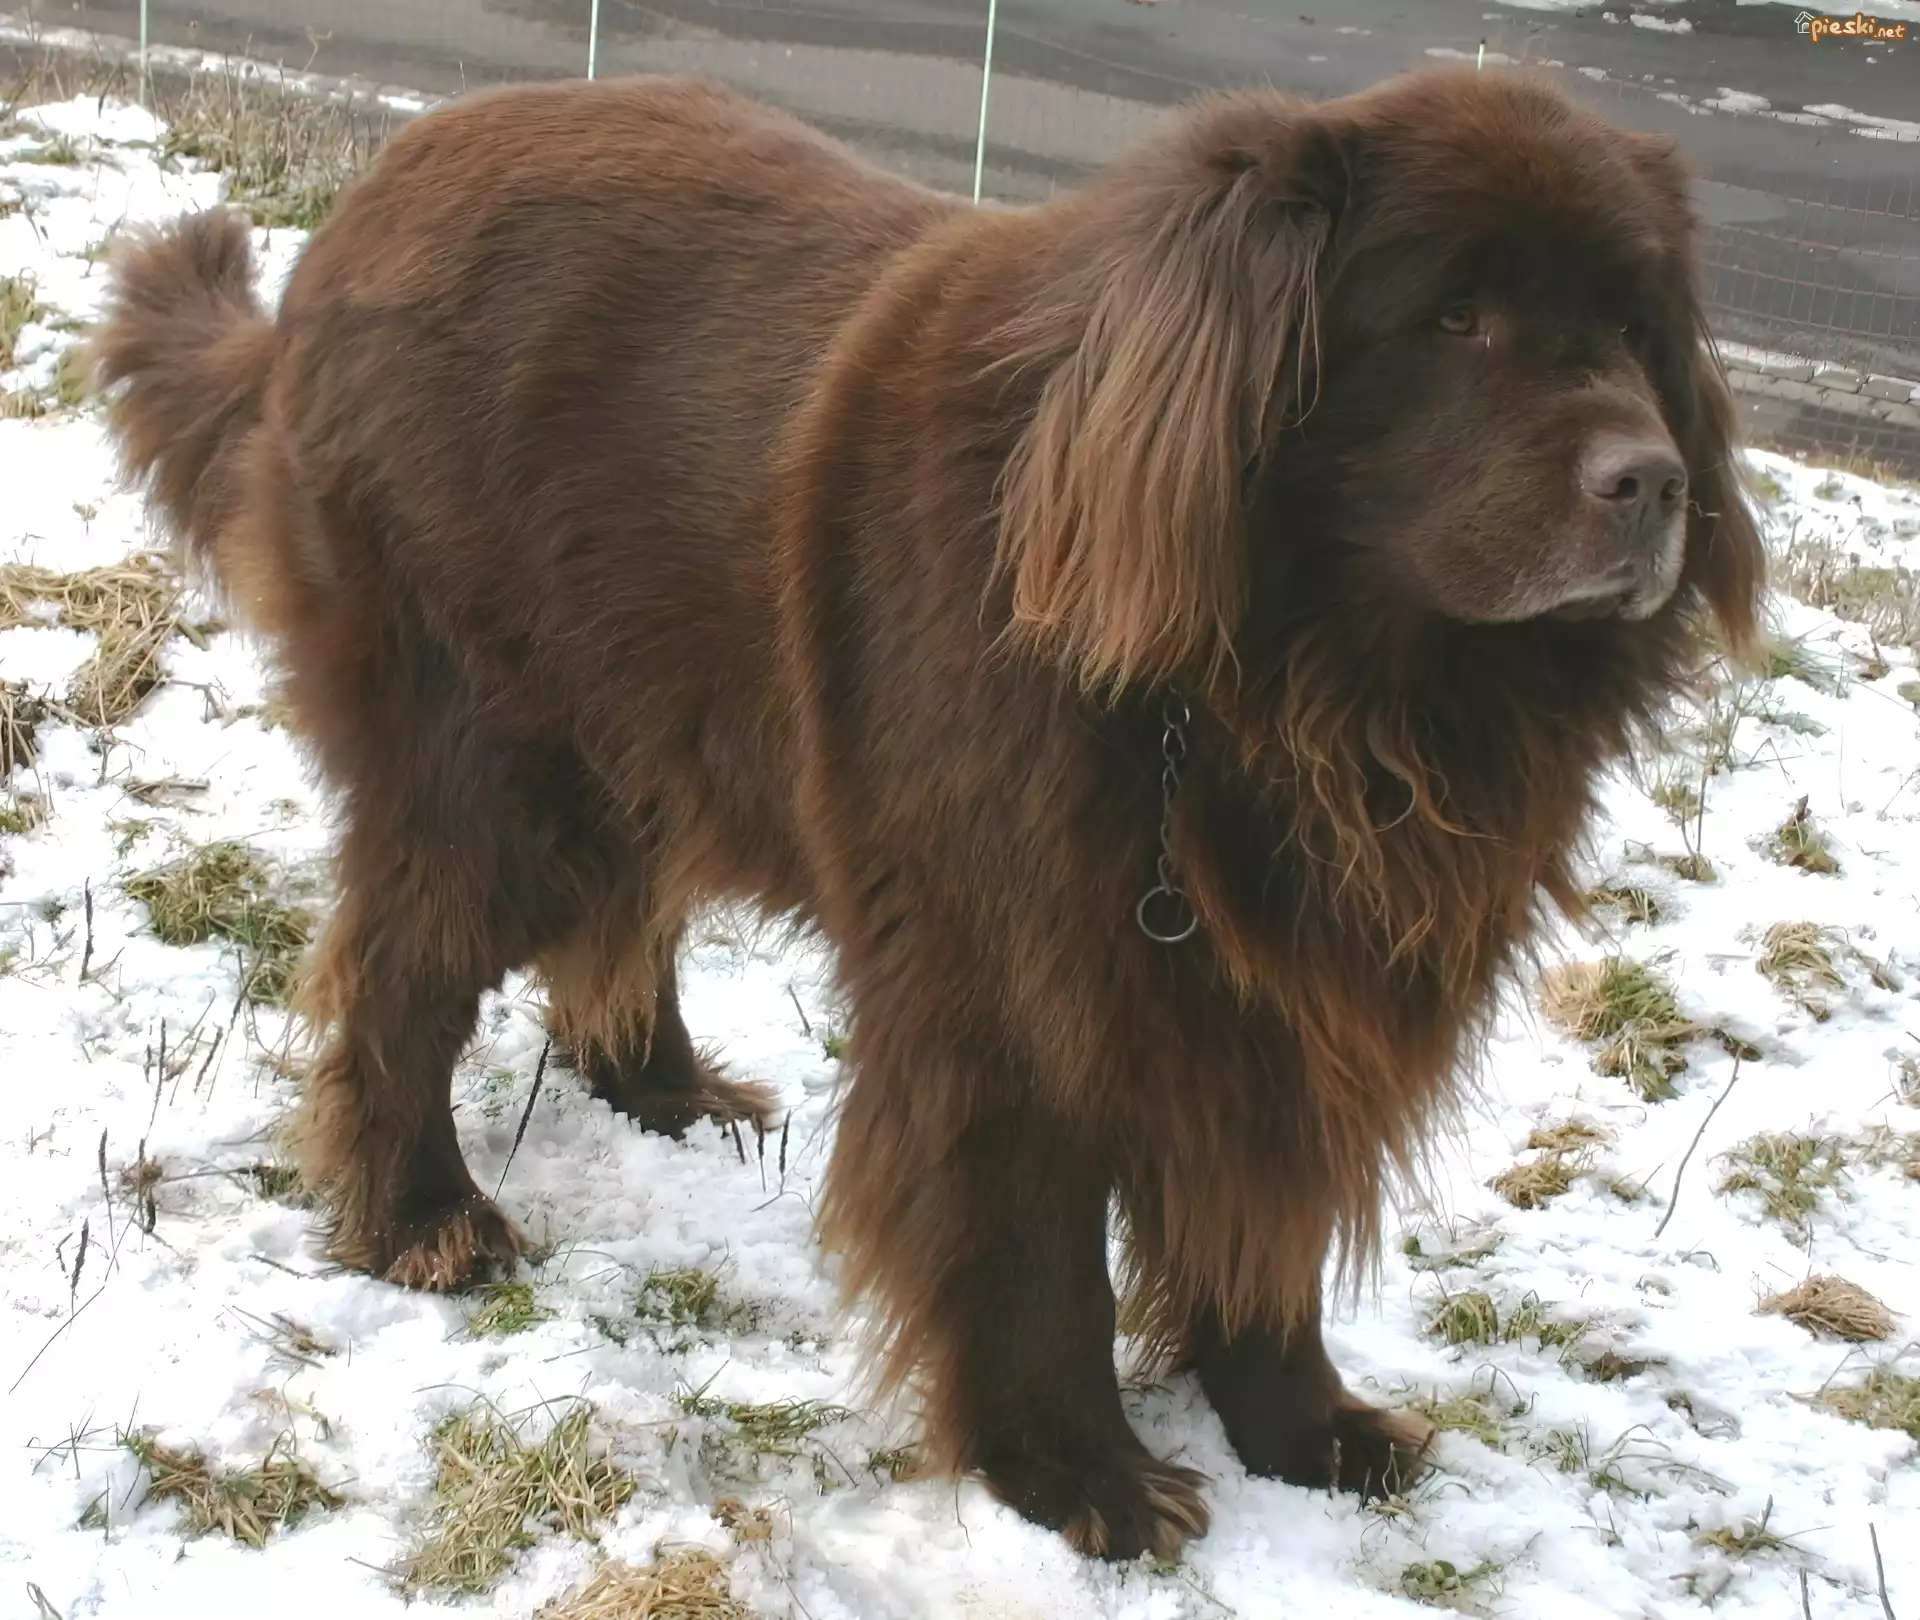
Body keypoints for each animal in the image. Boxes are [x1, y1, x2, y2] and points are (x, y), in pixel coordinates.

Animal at [92, 65, 1764, 1559]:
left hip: (644, 714)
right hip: (491, 754)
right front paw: (1080, 1478)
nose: (1653, 484)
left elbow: (1260, 1223)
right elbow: (1034, 1250)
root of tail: (365, 204)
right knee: (404, 971)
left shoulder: (1269, 1003)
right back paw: (421, 1214)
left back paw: (664, 1091)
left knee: (616, 914)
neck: (1289, 689)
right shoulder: (1012, 981)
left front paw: (1305, 1429)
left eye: (1634, 327)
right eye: (1456, 321)